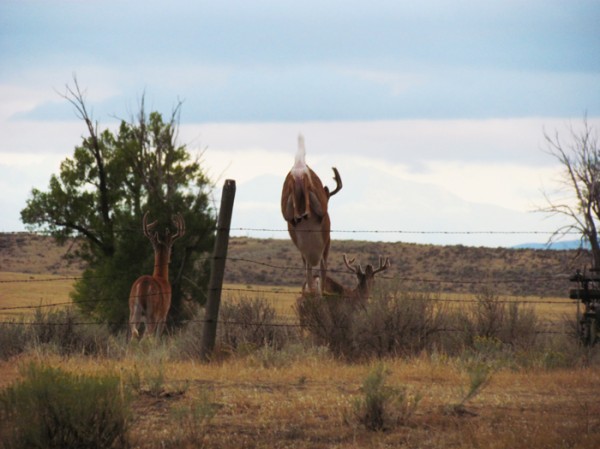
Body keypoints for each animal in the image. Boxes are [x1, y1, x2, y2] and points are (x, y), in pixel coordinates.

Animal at [282, 136, 342, 298]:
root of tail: (299, 167)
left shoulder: (305, 254)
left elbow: (309, 273)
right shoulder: (325, 247)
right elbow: (322, 273)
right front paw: (320, 293)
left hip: (290, 191)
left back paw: (298, 216)